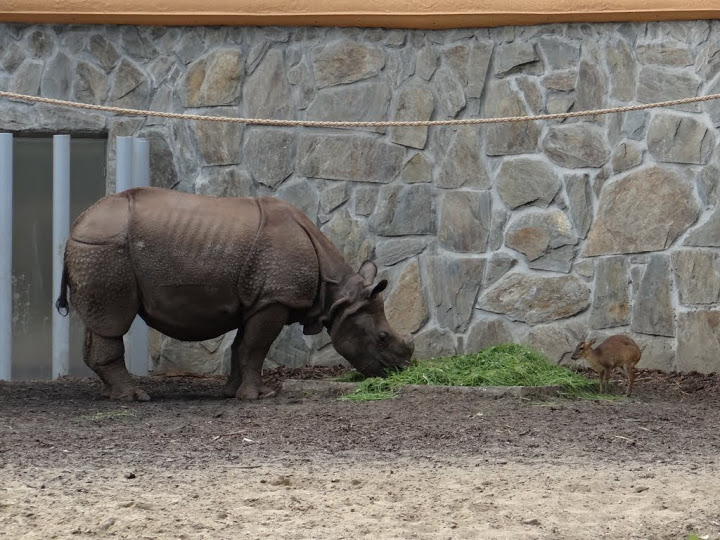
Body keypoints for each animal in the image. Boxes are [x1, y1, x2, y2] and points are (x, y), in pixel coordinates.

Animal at [55, 187, 414, 402]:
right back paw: (135, 397)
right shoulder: (274, 299)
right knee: (114, 319)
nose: (400, 370)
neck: (338, 294)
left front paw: (231, 393)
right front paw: (259, 396)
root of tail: (78, 223)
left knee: (100, 322)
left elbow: (242, 346)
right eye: (382, 338)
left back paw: (113, 395)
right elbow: (256, 347)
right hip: (105, 249)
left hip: (98, 249)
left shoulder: (257, 300)